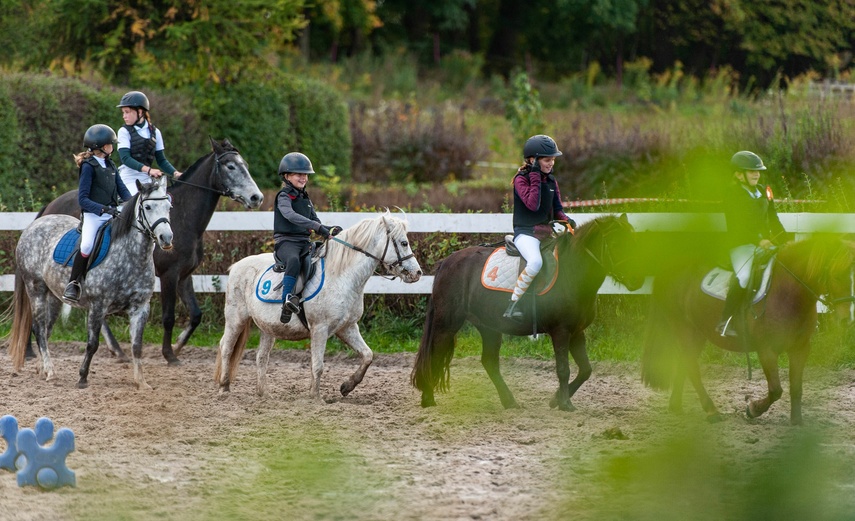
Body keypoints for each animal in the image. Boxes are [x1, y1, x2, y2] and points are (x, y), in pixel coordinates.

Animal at [9, 179, 174, 386]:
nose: (166, 238)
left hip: (54, 296)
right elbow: (92, 344)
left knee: (46, 331)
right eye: (148, 207)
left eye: (169, 206)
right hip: (35, 288)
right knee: (38, 329)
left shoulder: (141, 307)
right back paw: (50, 371)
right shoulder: (98, 305)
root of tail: (34, 224)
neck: (130, 256)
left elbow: (137, 346)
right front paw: (82, 378)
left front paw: (141, 382)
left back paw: (43, 369)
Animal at [33, 138, 262, 366]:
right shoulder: (169, 275)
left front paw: (178, 346)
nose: (256, 198)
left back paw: (117, 351)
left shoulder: (184, 275)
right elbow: (168, 317)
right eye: (230, 166)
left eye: (245, 165)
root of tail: (50, 206)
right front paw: (169, 354)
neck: (182, 218)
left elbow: (196, 314)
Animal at [216, 211, 422, 398]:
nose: (417, 273)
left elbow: (368, 355)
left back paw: (264, 393)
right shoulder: (320, 329)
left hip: (269, 327)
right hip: (236, 319)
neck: (341, 276)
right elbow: (318, 366)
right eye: (404, 243)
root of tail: (236, 266)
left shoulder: (347, 327)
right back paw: (224, 388)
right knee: (226, 348)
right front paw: (315, 397)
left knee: (261, 357)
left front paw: (346, 387)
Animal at [412, 213, 644, 412]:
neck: (571, 273)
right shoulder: (561, 331)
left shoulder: (577, 332)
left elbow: (586, 369)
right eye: (616, 244)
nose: (637, 279)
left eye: (634, 241)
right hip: (447, 324)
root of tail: (446, 262)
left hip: (489, 327)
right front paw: (564, 403)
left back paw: (509, 401)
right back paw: (428, 398)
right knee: (435, 354)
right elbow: (563, 368)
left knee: (489, 362)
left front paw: (556, 399)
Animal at [640, 236, 855, 422]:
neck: (788, 293)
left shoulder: (800, 348)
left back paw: (677, 405)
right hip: (683, 327)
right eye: (837, 275)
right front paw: (753, 409)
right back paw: (711, 411)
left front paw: (797, 423)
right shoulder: (766, 350)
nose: (847, 320)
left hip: (697, 332)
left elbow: (796, 388)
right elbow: (776, 390)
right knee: (691, 367)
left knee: (685, 363)